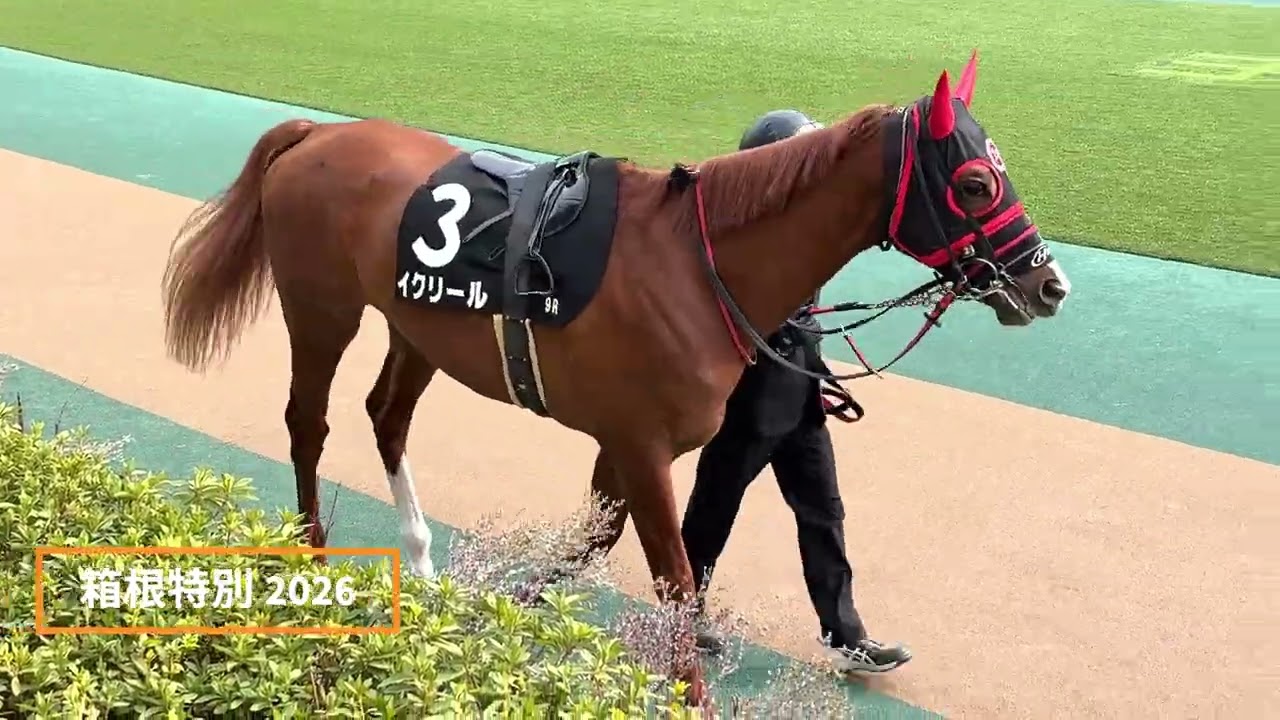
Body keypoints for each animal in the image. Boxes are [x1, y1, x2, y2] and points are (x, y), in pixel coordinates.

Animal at [160, 50, 1071, 703]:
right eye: (975, 180)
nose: (1048, 284)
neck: (699, 266)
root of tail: (316, 134)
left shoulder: (624, 444)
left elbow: (594, 541)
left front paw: (507, 611)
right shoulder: (641, 444)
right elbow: (672, 575)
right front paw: (688, 691)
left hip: (414, 323)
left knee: (385, 415)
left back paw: (421, 564)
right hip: (322, 307)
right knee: (307, 422)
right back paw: (313, 565)